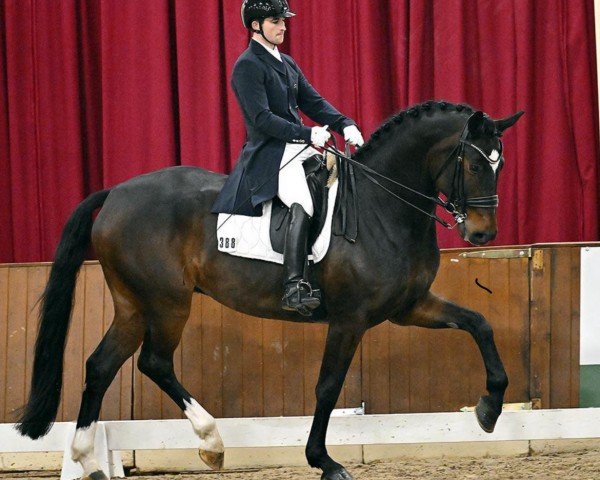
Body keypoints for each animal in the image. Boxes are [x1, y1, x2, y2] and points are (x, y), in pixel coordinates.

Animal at [14, 101, 520, 480]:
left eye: (499, 163)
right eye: (474, 162)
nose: (482, 234)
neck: (382, 208)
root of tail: (116, 192)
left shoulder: (409, 306)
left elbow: (479, 324)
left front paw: (490, 408)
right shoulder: (350, 318)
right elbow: (328, 386)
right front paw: (324, 461)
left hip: (133, 305)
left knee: (101, 365)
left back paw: (88, 460)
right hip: (167, 302)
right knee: (153, 362)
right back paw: (212, 443)